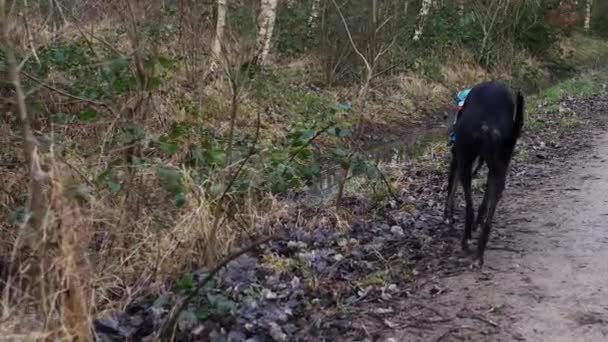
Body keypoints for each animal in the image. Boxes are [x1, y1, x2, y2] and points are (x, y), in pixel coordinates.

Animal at [444, 82, 524, 268]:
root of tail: (487, 124)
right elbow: (485, 199)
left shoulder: (457, 159)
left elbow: (451, 189)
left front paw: (448, 216)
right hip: (500, 168)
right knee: (489, 213)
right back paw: (479, 252)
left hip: (465, 163)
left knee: (469, 208)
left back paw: (466, 240)